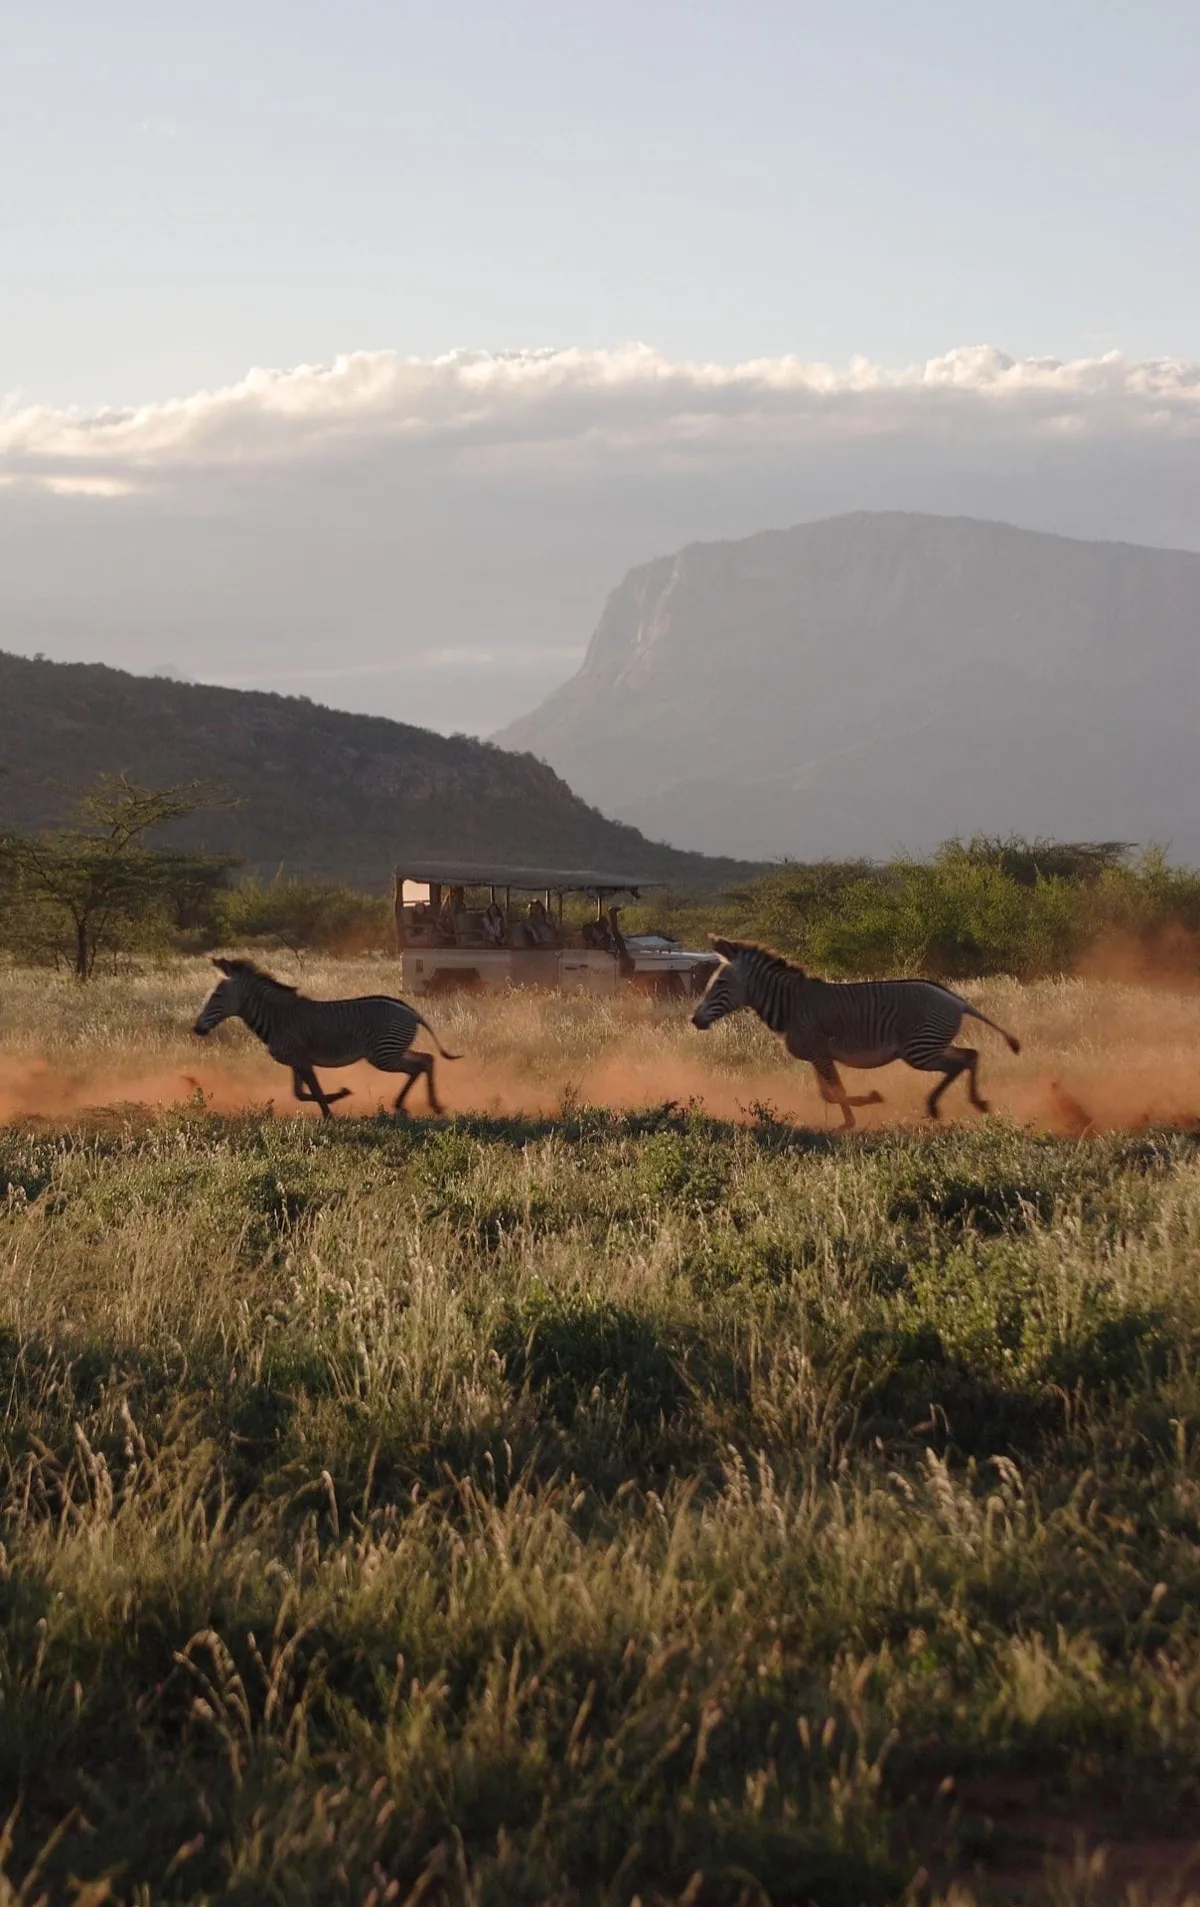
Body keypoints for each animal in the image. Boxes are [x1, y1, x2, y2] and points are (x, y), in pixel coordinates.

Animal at [192, 958, 460, 1118]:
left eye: (216, 996)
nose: (196, 1029)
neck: (276, 1017)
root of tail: (411, 1011)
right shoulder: (296, 1061)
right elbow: (300, 1093)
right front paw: (339, 1096)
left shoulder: (302, 1059)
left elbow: (315, 1091)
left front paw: (331, 1111)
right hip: (392, 1050)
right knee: (426, 1060)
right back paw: (423, 1105)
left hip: (384, 1053)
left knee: (420, 1064)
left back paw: (416, 1105)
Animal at [691, 937, 1020, 1128]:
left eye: (720, 984)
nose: (694, 1020)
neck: (791, 1005)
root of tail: (957, 1000)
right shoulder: (816, 1055)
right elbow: (827, 1093)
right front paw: (864, 1103)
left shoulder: (820, 1052)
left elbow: (836, 1091)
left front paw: (851, 1119)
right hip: (932, 1044)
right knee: (970, 1056)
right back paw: (970, 1103)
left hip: (920, 1050)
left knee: (960, 1062)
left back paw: (941, 1104)